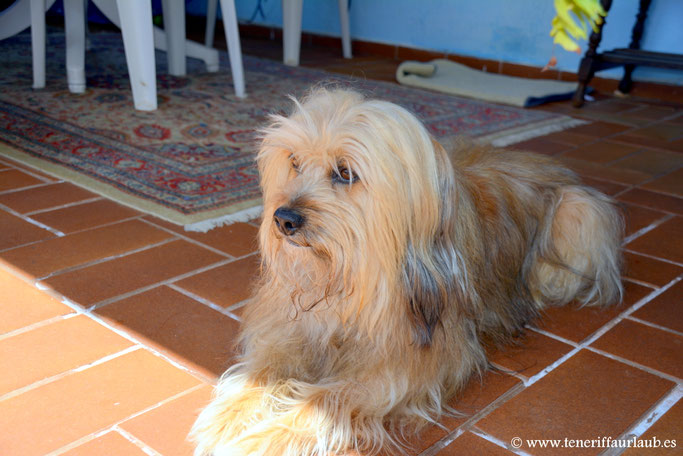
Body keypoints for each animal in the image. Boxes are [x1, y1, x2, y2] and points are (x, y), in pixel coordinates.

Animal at [191, 88, 623, 456]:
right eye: (294, 162)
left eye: (345, 173)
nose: (284, 219)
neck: (352, 275)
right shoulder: (290, 326)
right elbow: (263, 369)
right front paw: (230, 416)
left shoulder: (406, 362)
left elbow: (328, 396)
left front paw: (268, 436)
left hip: (579, 213)